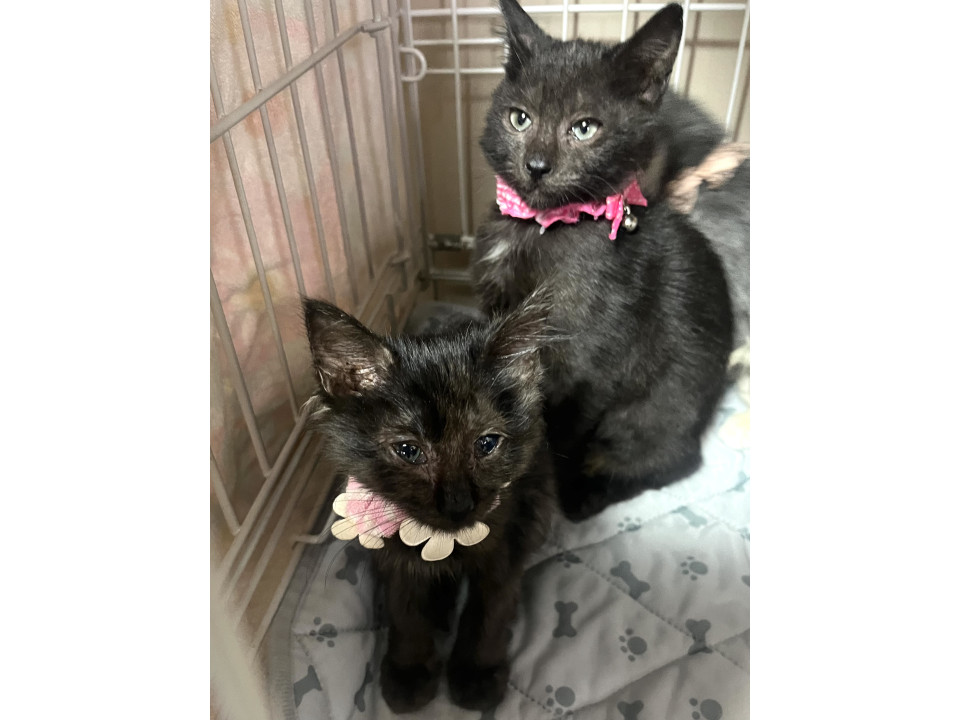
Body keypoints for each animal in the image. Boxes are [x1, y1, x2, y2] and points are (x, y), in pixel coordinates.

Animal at [302, 293, 556, 714]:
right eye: (408, 450)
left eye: (487, 443)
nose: (458, 505)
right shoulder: (392, 556)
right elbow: (405, 611)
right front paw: (409, 671)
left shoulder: (507, 539)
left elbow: (490, 606)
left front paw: (477, 673)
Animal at [471, 1, 741, 521]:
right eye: (519, 119)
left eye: (584, 128)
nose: (536, 165)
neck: (538, 228)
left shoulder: (588, 368)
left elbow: (561, 434)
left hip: (656, 408)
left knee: (671, 457)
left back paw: (586, 495)